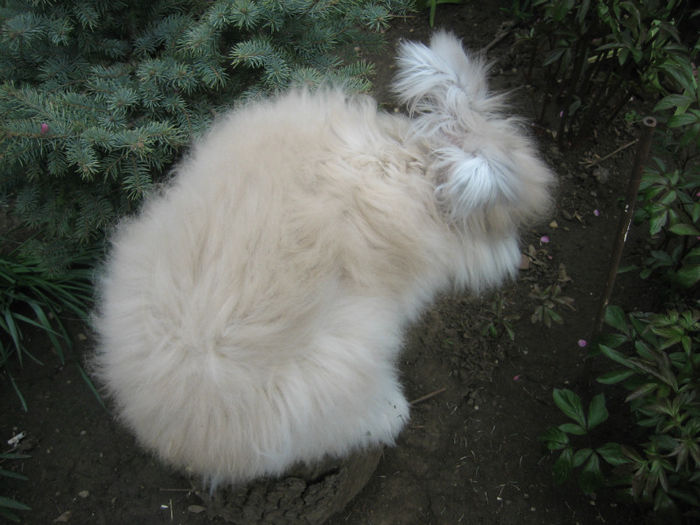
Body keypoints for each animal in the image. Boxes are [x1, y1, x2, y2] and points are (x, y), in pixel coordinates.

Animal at [91, 30, 552, 486]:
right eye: (502, 218)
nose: (515, 255)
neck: (409, 165)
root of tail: (173, 436)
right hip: (343, 363)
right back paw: (391, 413)